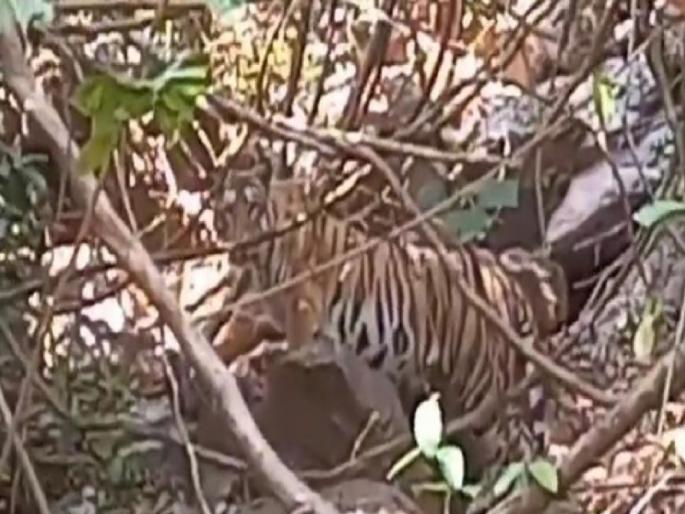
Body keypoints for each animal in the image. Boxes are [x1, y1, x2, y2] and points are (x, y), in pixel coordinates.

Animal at [210, 166, 569, 477]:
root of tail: (508, 283)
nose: (238, 247)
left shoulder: (302, 306)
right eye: (226, 213)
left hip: (485, 392)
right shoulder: (257, 309)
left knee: (516, 448)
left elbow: (294, 345)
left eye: (252, 209)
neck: (261, 262)